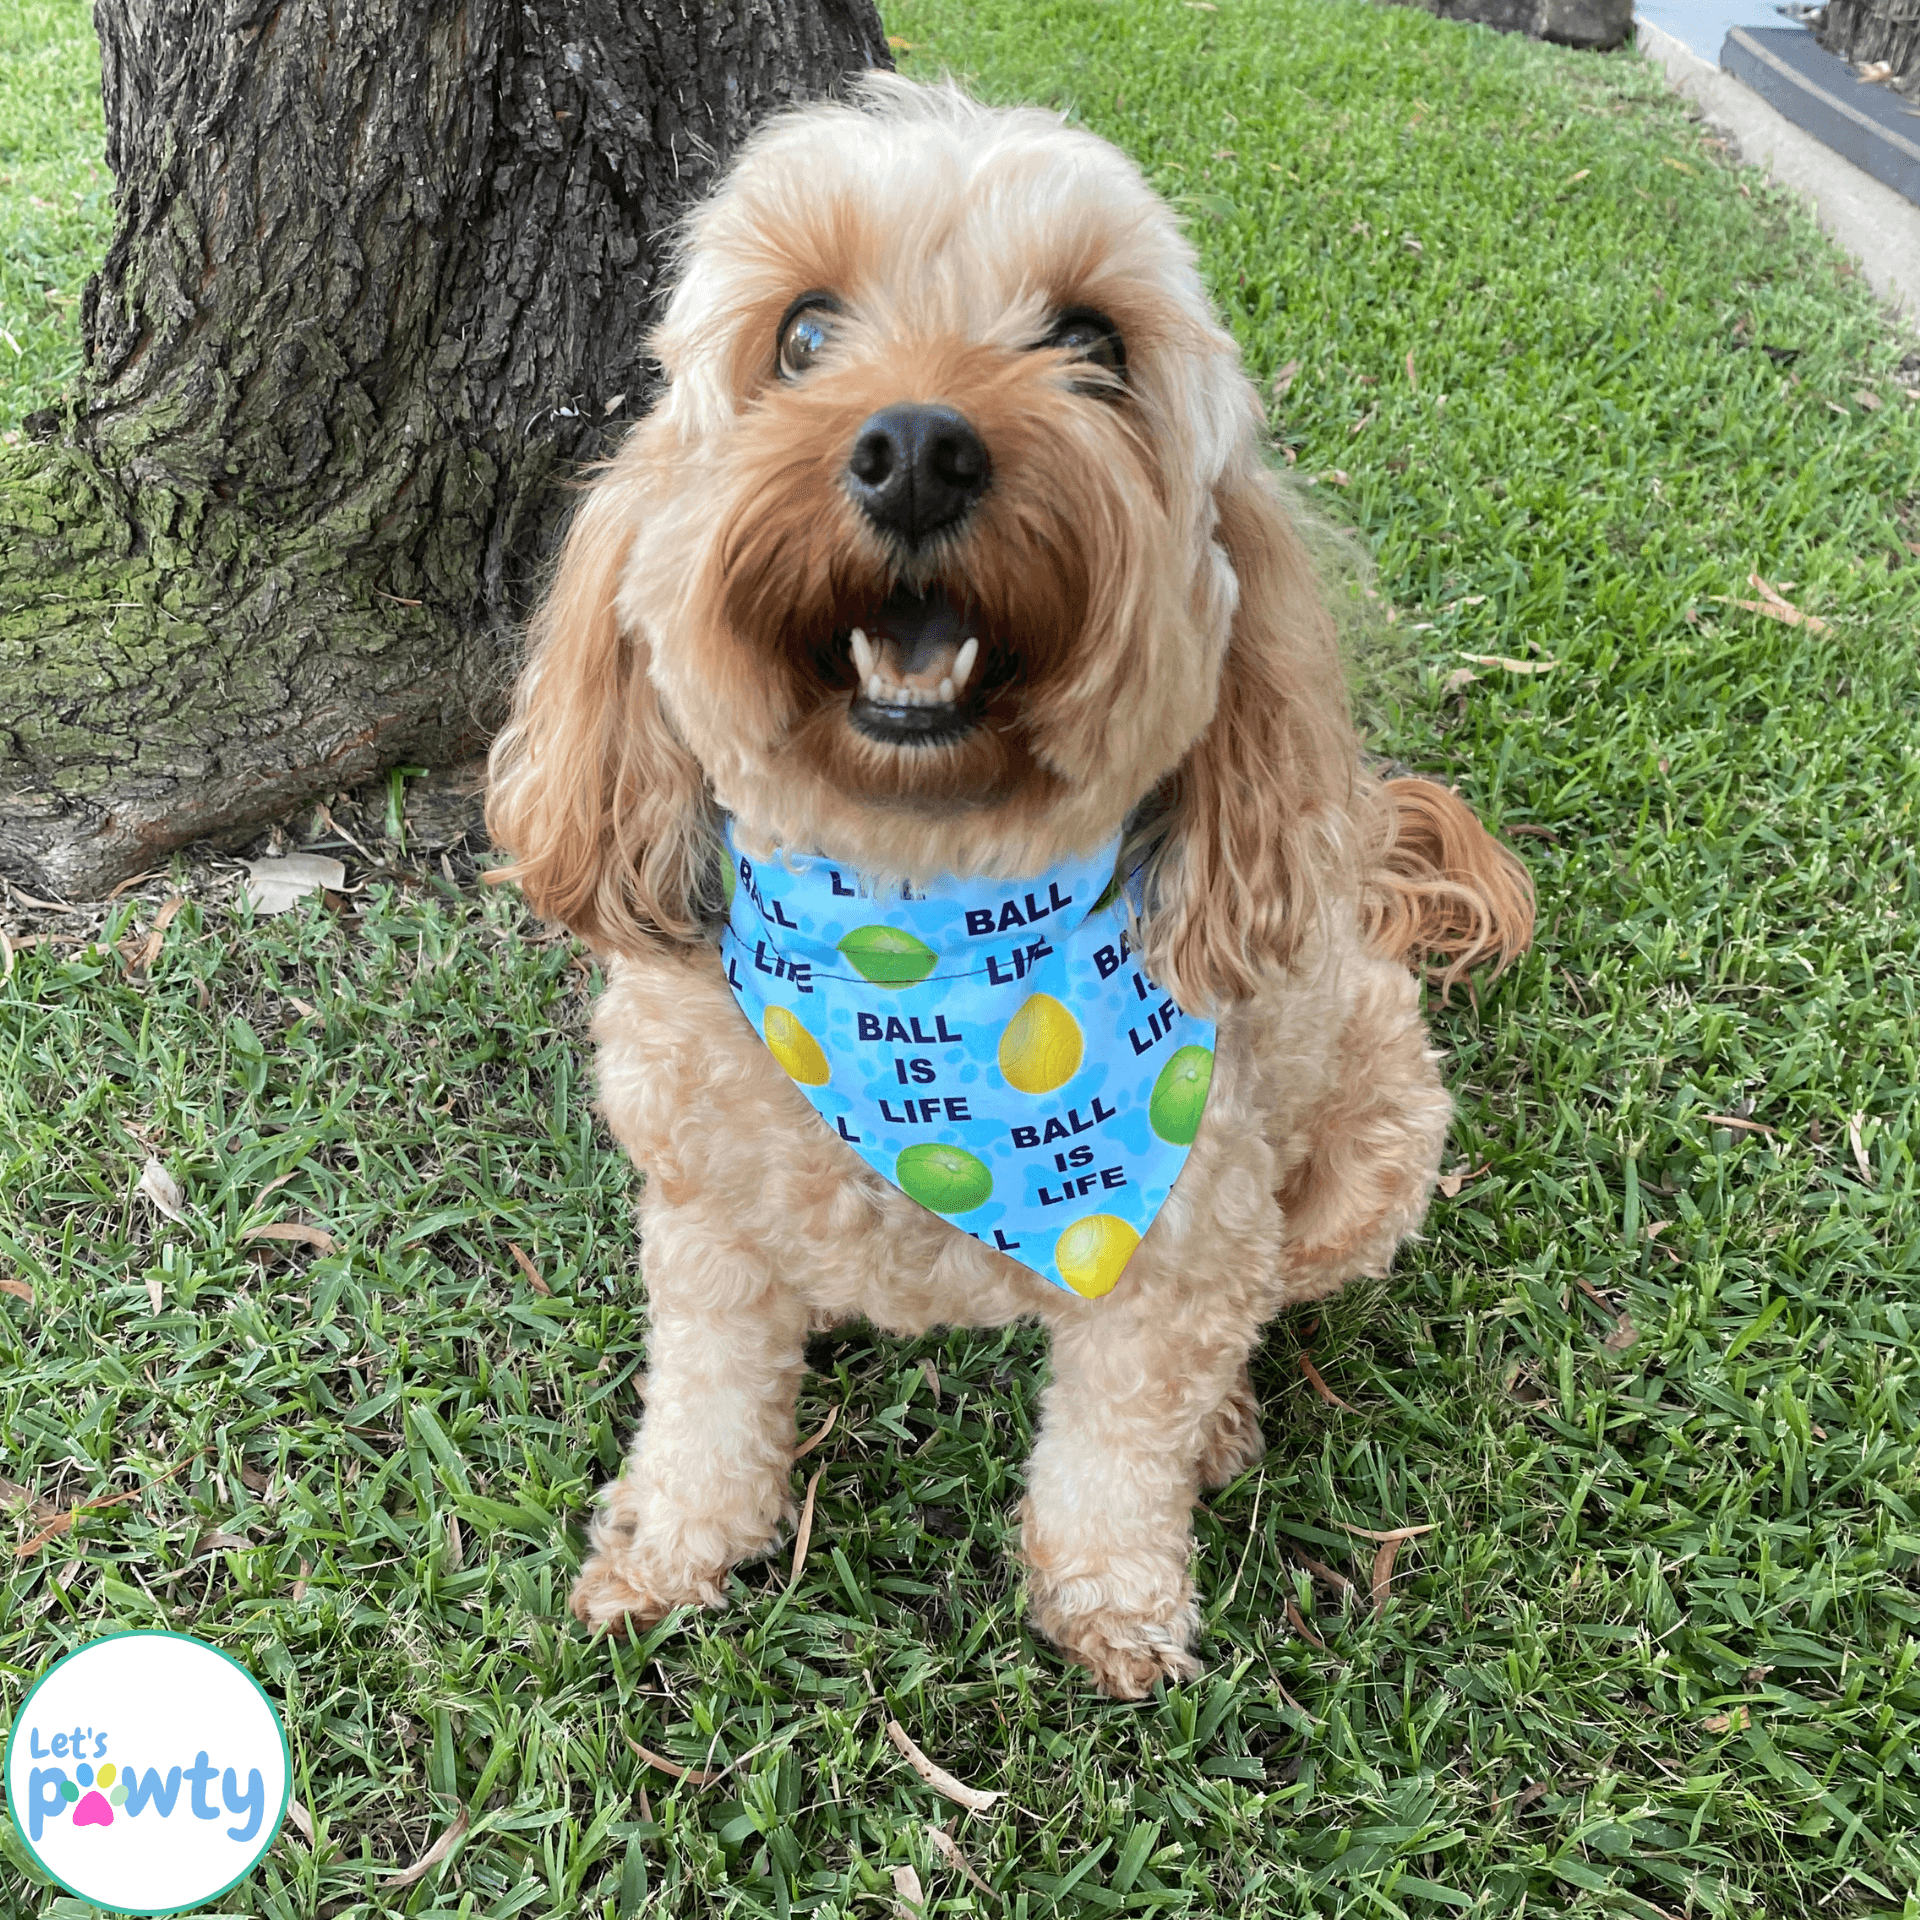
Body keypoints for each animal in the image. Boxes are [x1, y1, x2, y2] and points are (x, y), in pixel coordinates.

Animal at [487, 71, 1536, 1697]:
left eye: (1093, 343)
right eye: (802, 334)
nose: (919, 447)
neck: (922, 935)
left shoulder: (1178, 1254)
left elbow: (1122, 1442)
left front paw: (1113, 1601)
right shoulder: (703, 1221)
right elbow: (708, 1402)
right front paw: (672, 1549)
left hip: (1371, 1157)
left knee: (1268, 1309)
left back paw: (1229, 1423)